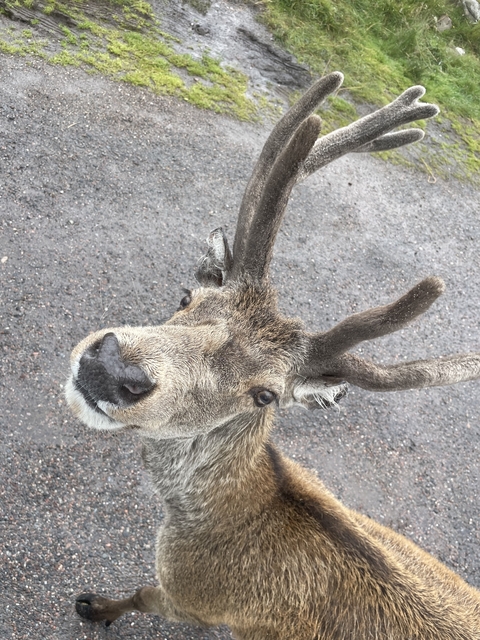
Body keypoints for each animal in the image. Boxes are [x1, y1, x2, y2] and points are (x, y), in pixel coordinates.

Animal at [65, 72, 480, 639]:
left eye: (264, 395)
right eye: (187, 298)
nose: (111, 368)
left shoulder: (192, 597)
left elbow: (139, 594)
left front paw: (95, 606)